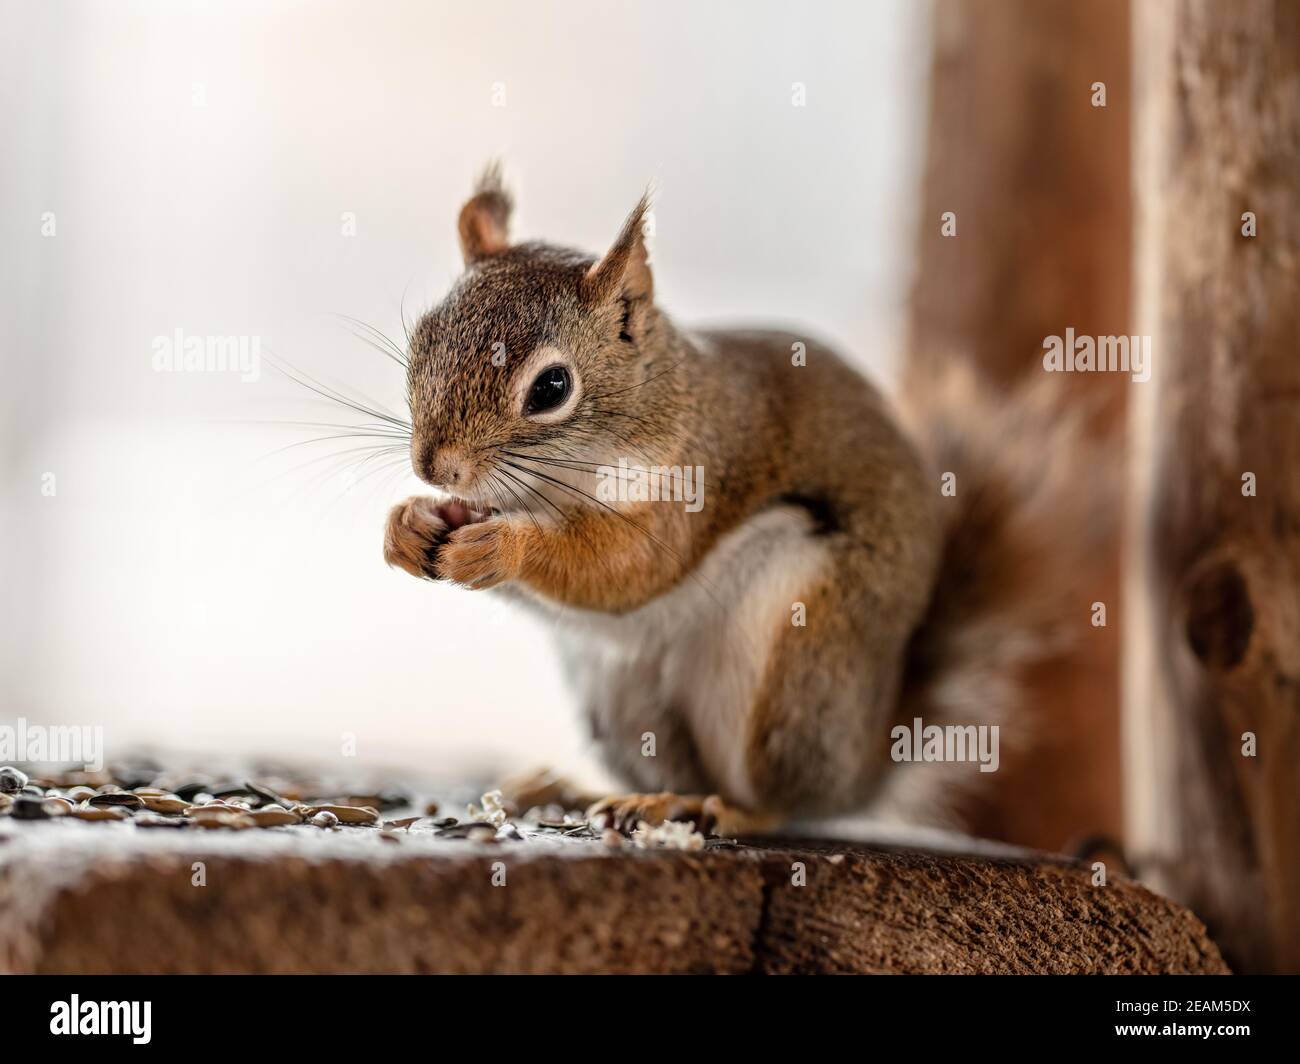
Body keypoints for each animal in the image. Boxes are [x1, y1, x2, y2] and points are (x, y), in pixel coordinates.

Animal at [382, 170, 1097, 837]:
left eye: (552, 387)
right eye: (421, 341)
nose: (434, 465)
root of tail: (862, 766)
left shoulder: (694, 483)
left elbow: (627, 569)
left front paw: (504, 544)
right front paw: (407, 526)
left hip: (789, 658)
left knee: (780, 798)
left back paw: (722, 808)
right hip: (619, 696)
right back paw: (592, 793)